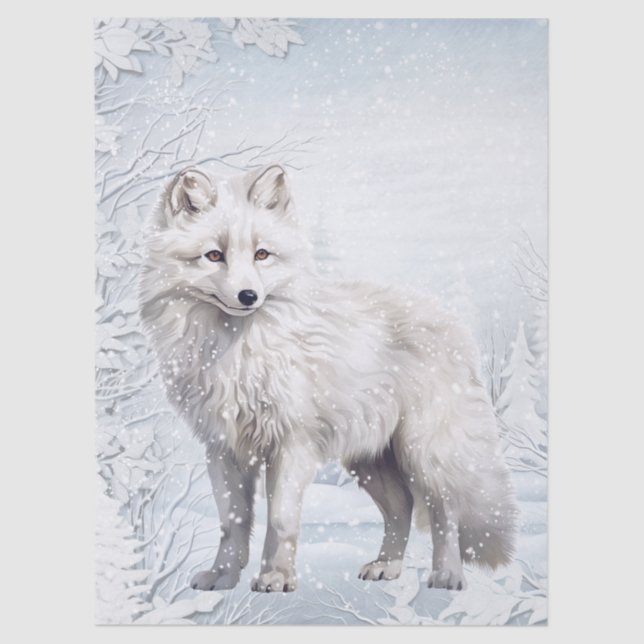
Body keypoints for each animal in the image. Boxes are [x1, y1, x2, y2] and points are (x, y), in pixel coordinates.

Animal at [139, 164, 518, 593]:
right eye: (214, 256)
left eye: (262, 254)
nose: (249, 296)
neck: (239, 352)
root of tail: (454, 323)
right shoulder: (223, 449)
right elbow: (232, 522)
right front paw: (223, 576)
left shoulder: (291, 444)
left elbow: (281, 519)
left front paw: (276, 577)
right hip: (369, 461)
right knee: (402, 506)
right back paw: (387, 566)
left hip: (423, 451)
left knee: (445, 509)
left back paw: (447, 575)